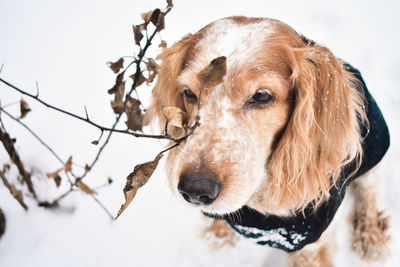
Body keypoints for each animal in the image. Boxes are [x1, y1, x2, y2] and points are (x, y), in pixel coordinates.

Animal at [145, 16, 390, 266]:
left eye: (261, 96)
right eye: (188, 93)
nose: (194, 190)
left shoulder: (310, 244)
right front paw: (219, 236)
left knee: (368, 192)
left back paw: (370, 236)